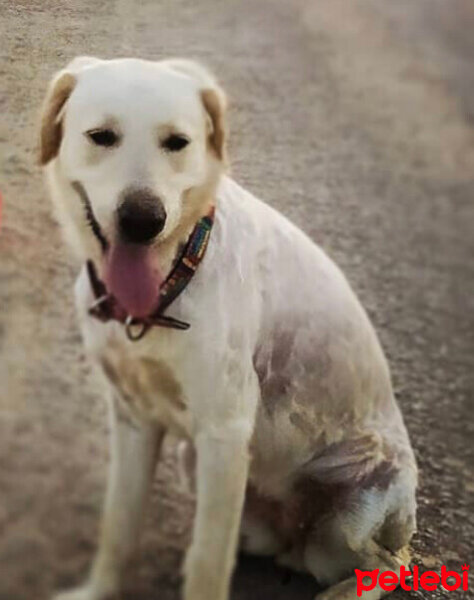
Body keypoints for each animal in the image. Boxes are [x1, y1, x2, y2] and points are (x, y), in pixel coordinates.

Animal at [40, 57, 418, 600]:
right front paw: (99, 589)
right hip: (199, 465)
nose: (143, 220)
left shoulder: (224, 430)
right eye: (102, 136)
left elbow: (207, 563)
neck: (172, 280)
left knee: (389, 562)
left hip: (350, 509)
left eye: (177, 142)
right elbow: (120, 525)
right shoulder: (134, 417)